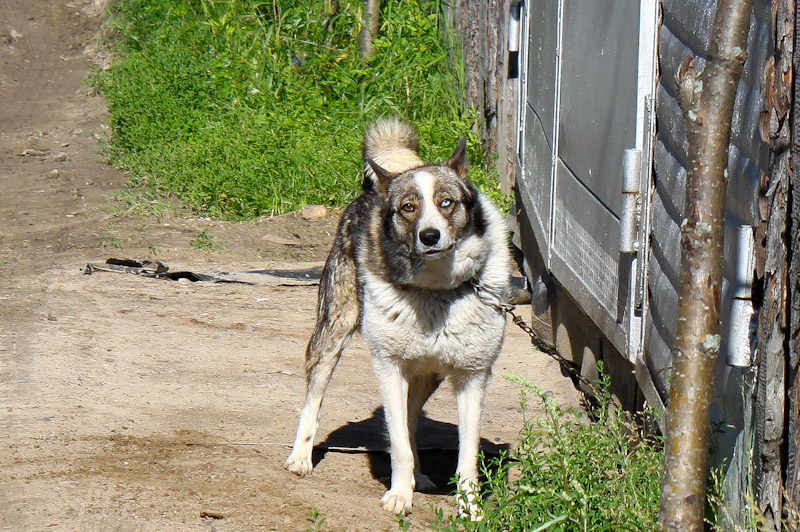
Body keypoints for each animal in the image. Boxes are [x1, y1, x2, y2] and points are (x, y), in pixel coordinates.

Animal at [286, 118, 512, 516]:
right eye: (408, 207)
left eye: (446, 203)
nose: (429, 235)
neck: (436, 291)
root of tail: (375, 187)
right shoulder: (388, 367)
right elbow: (400, 445)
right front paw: (398, 497)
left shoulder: (473, 377)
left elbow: (465, 456)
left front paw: (469, 509)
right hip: (332, 335)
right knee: (314, 400)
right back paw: (301, 457)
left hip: (426, 376)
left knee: (409, 420)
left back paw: (419, 477)